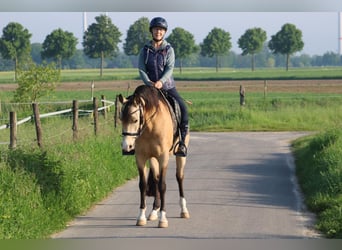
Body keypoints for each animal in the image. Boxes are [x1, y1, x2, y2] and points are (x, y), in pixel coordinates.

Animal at [118, 85, 190, 228]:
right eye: (121, 119)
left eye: (135, 120)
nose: (126, 147)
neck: (150, 126)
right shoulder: (140, 158)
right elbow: (143, 185)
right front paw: (141, 217)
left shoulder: (163, 158)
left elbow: (162, 186)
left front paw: (163, 219)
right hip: (152, 158)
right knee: (156, 179)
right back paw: (154, 211)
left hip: (180, 156)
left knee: (179, 177)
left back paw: (184, 210)